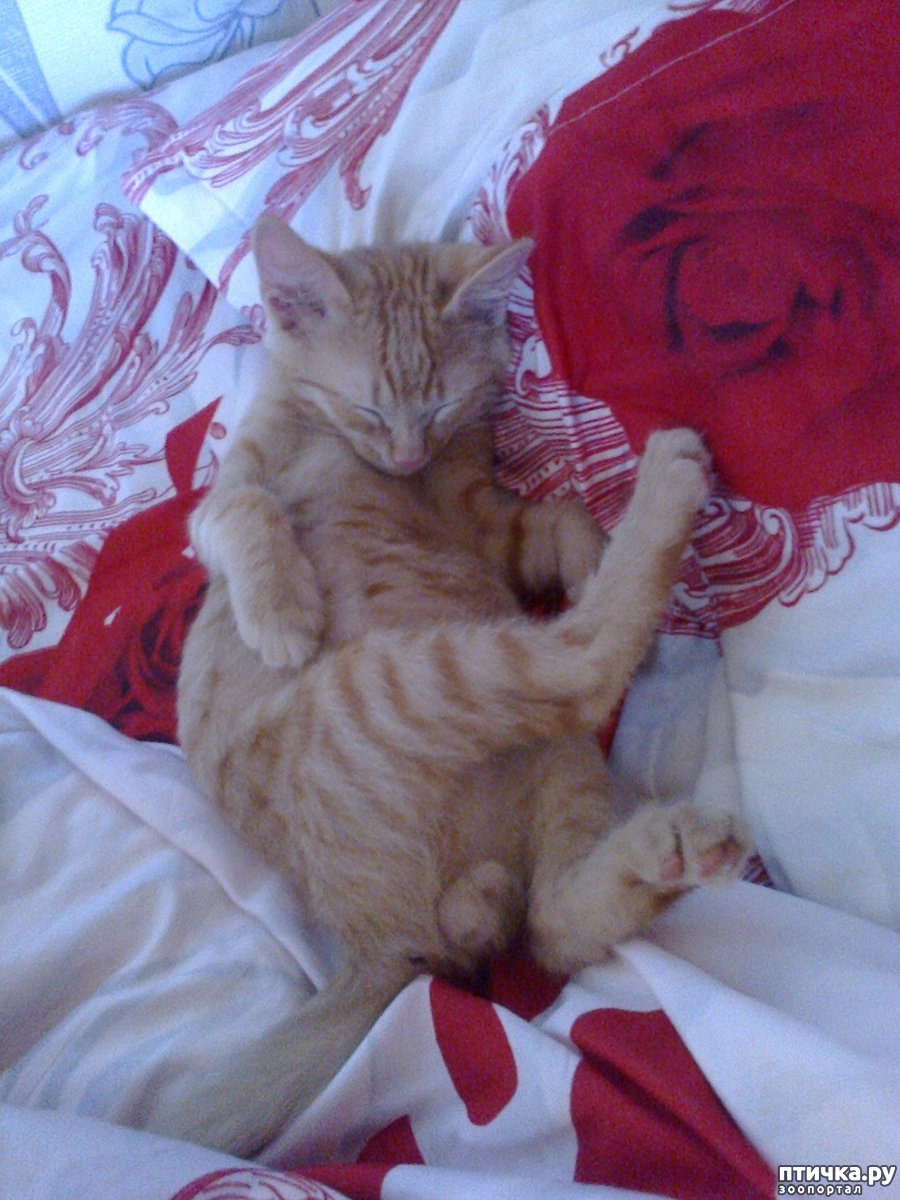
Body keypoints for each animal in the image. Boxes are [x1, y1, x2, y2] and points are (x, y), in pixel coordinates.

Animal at [176, 215, 750, 1155]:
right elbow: (244, 510)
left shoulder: (485, 520)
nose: (405, 453)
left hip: (550, 757)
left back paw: (665, 852)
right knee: (583, 663)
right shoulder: (225, 494)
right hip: (408, 679)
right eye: (371, 408)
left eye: (440, 405)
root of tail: (379, 946)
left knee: (554, 926)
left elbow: (556, 517)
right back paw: (665, 486)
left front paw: (584, 553)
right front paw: (283, 612)